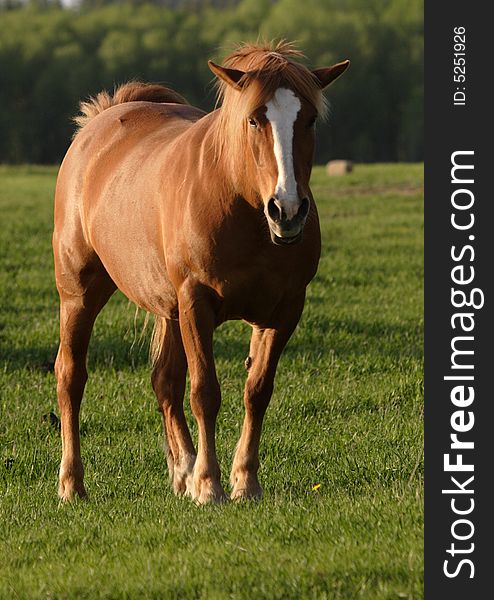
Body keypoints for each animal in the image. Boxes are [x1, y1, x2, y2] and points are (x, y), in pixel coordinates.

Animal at [53, 39, 348, 504]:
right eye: (253, 119)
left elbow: (257, 390)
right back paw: (72, 482)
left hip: (169, 309)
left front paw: (244, 480)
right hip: (79, 295)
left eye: (310, 119)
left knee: (164, 382)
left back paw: (183, 471)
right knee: (71, 378)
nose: (287, 210)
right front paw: (209, 484)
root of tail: (99, 123)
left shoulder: (284, 310)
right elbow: (205, 392)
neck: (242, 206)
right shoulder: (196, 301)